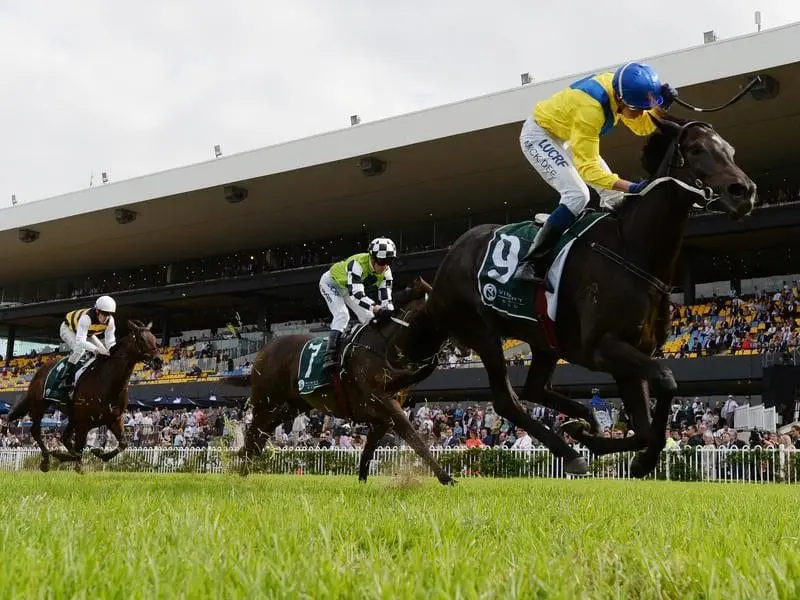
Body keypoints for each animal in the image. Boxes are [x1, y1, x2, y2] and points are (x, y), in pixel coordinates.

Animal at [6, 322, 162, 472]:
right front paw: (77, 463)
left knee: (64, 439)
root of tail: (40, 370)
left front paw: (99, 453)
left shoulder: (114, 418)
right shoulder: (83, 422)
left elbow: (123, 443)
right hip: (39, 405)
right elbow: (79, 448)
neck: (108, 380)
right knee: (36, 431)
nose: (158, 361)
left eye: (155, 339)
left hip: (71, 415)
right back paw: (46, 461)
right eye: (141, 339)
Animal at [225, 276, 454, 482]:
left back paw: (243, 467)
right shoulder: (383, 402)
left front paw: (362, 483)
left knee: (259, 437)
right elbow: (415, 439)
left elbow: (368, 452)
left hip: (289, 406)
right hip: (264, 401)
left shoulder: (382, 418)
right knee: (253, 435)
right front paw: (446, 478)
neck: (385, 347)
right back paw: (240, 471)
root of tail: (264, 349)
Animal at [406, 115, 756, 476]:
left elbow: (644, 429)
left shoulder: (631, 355)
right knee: (507, 400)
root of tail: (446, 264)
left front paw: (597, 438)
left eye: (729, 149)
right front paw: (639, 459)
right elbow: (666, 379)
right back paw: (569, 449)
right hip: (482, 333)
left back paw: (583, 420)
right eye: (697, 149)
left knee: (535, 388)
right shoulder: (602, 347)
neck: (630, 251)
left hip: (542, 340)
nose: (744, 191)